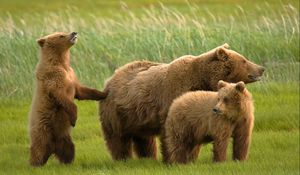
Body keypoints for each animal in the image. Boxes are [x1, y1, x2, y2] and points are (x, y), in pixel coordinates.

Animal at [28, 32, 108, 166]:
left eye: (63, 32)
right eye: (61, 35)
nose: (74, 33)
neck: (61, 63)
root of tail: (52, 149)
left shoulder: (72, 75)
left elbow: (81, 91)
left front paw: (104, 93)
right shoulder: (54, 77)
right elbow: (61, 95)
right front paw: (74, 119)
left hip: (63, 136)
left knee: (69, 148)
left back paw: (67, 162)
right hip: (42, 129)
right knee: (38, 148)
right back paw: (35, 163)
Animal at [99, 43, 264, 160]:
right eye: (244, 60)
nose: (261, 68)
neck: (202, 79)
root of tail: (110, 79)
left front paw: (191, 156)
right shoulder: (172, 95)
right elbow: (171, 132)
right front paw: (172, 158)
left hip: (137, 117)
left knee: (144, 139)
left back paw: (148, 157)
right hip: (116, 113)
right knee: (118, 138)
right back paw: (122, 158)